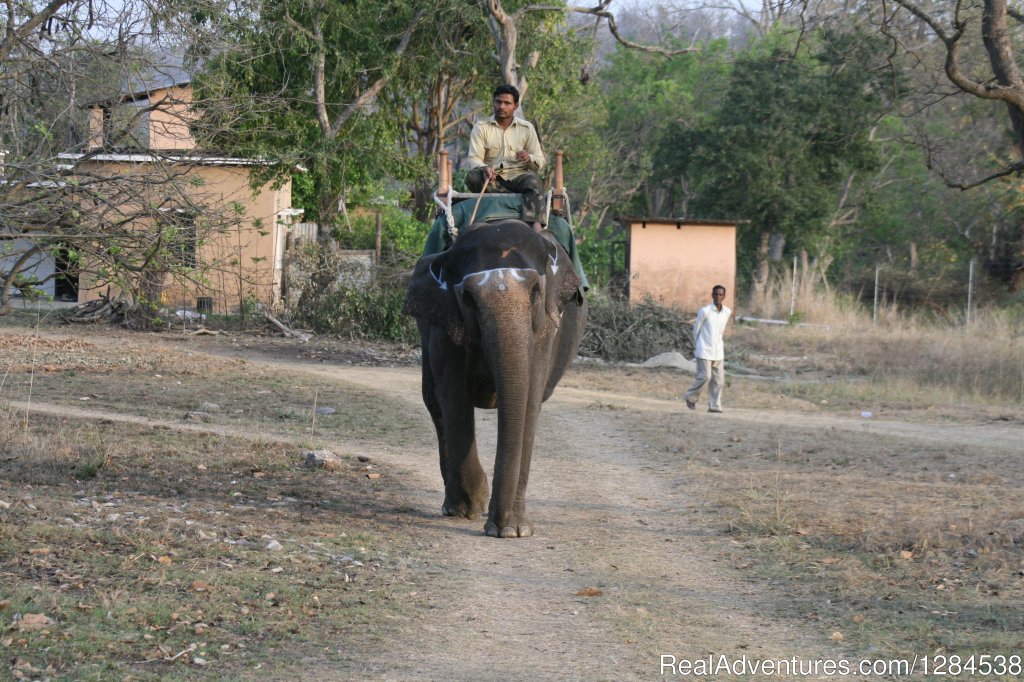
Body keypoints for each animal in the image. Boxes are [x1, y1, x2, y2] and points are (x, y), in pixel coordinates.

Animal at [403, 218, 589, 536]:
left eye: (536, 291)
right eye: (468, 298)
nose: (497, 525)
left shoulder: (546, 331)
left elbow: (529, 402)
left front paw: (514, 531)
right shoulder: (444, 323)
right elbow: (454, 398)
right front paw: (473, 507)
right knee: (433, 401)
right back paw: (454, 507)